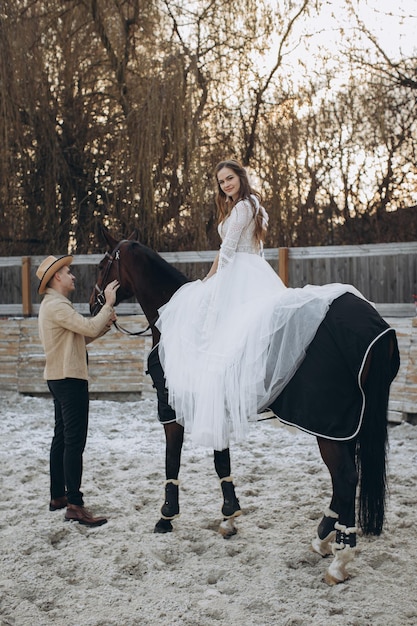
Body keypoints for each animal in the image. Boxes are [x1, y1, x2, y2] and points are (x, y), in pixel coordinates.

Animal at [89, 227, 398, 584]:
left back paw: (339, 558)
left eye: (102, 265)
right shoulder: (215, 407)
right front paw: (229, 516)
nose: (92, 305)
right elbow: (221, 460)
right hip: (345, 425)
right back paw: (324, 538)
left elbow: (172, 460)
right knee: (345, 480)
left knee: (346, 478)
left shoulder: (171, 409)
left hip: (328, 424)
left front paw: (167, 516)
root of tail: (373, 324)